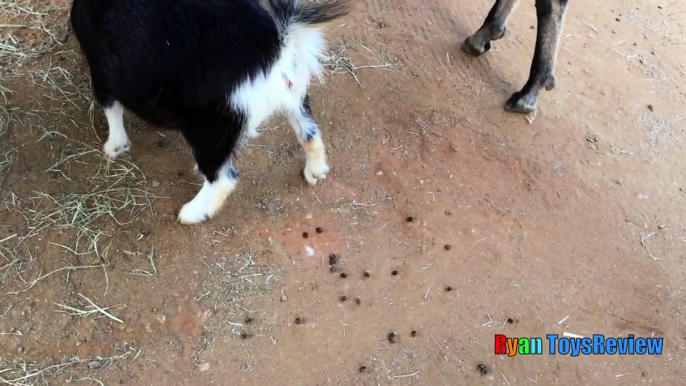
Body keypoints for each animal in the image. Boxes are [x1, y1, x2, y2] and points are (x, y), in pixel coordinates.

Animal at [70, 0, 352, 223]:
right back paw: (315, 173)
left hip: (210, 130)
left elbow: (110, 106)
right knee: (310, 135)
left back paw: (191, 214)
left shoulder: (101, 68)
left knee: (223, 177)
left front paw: (114, 147)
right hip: (296, 101)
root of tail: (277, 46)